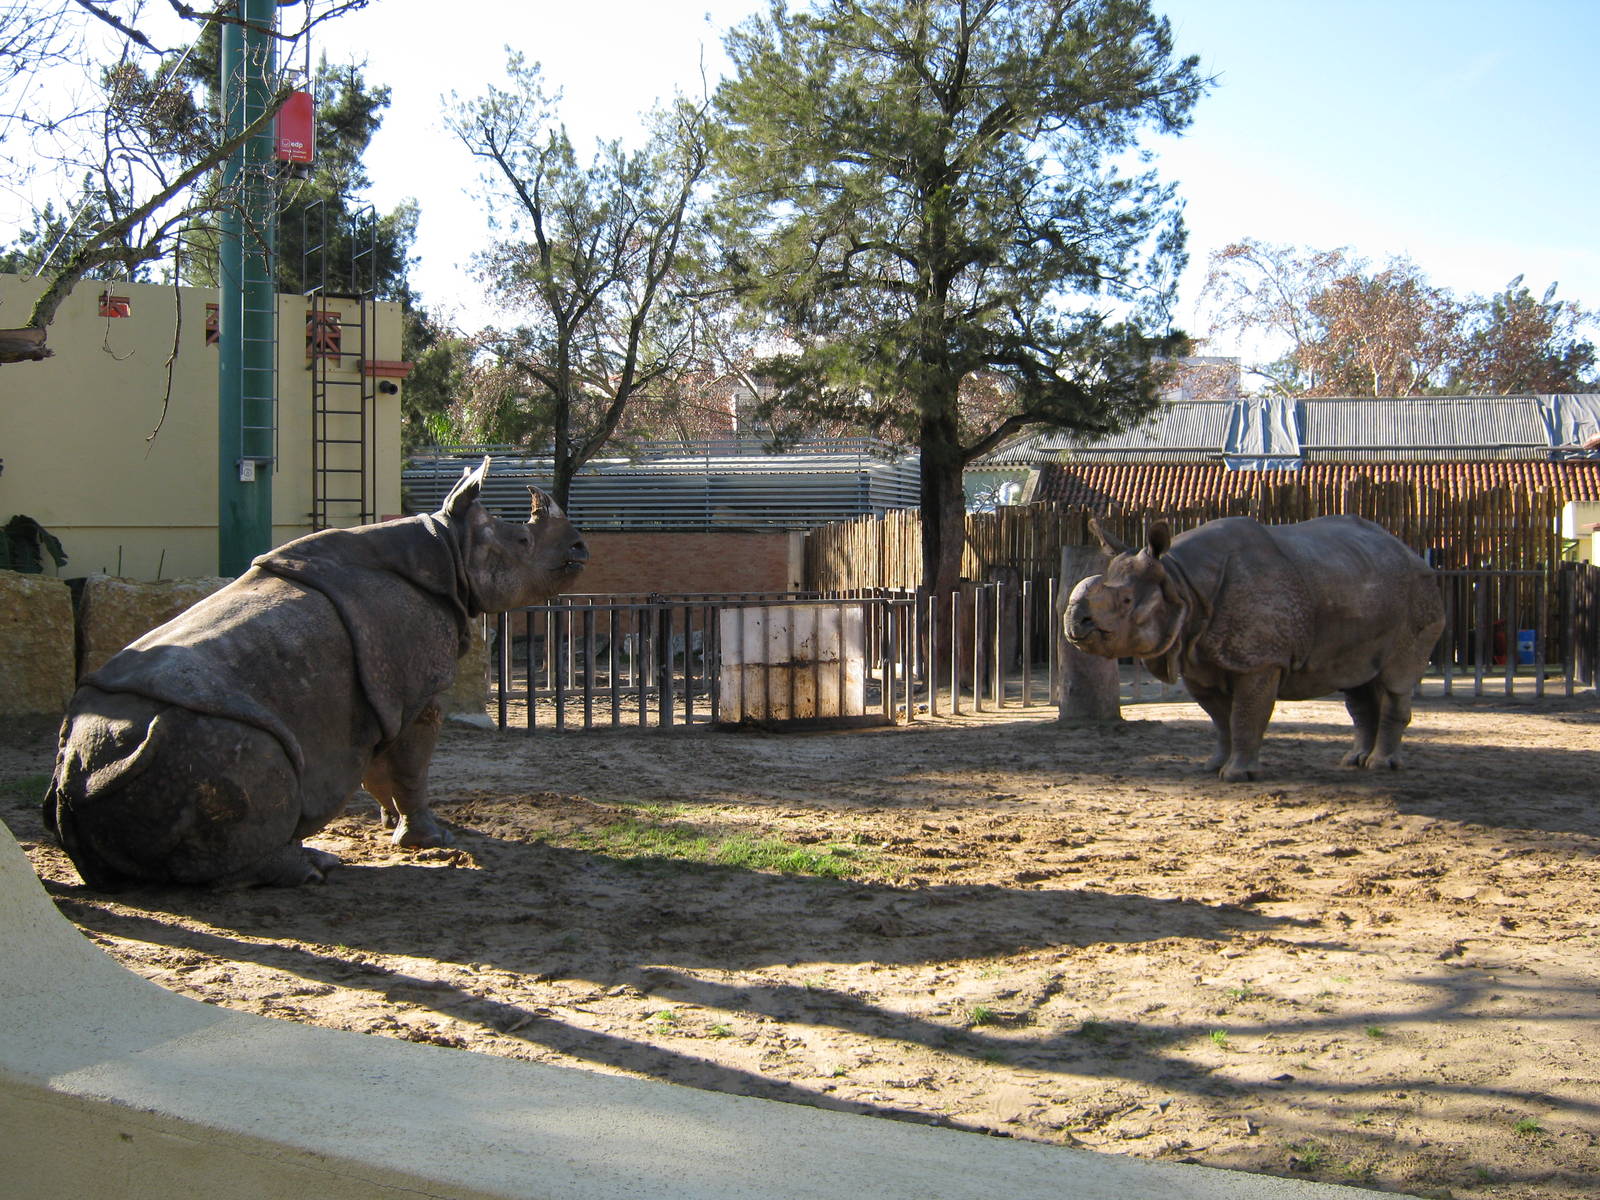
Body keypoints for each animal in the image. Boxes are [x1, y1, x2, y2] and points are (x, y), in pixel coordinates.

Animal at [43, 458, 587, 889]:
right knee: (261, 766)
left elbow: (378, 767)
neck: (449, 547)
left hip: (103, 747)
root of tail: (83, 774)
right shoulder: (418, 691)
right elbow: (411, 764)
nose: (582, 548)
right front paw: (430, 838)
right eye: (523, 539)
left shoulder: (375, 698)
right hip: (204, 741)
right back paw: (312, 868)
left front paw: (389, 824)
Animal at [1064, 515, 1444, 781]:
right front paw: (1212, 766)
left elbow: (1245, 715)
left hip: (1418, 593)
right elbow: (1220, 719)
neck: (1179, 580)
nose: (1074, 625)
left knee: (1396, 678)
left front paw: (1237, 776)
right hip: (1358, 581)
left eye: (1127, 601)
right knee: (1357, 682)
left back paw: (1380, 766)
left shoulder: (1259, 660)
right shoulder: (1197, 659)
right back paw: (1354, 762)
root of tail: (1411, 552)